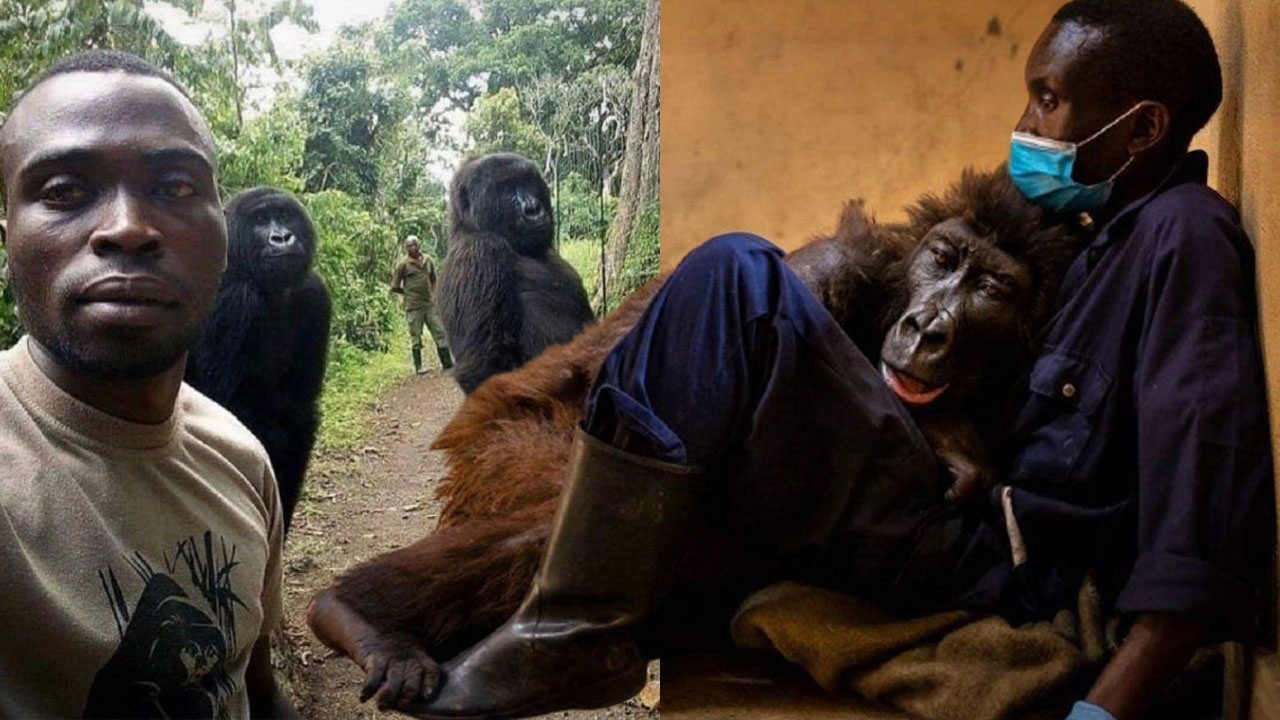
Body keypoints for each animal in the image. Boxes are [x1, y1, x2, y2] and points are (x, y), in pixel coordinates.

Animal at [186, 184, 335, 532]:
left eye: (284, 215)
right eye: (259, 221)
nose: (281, 237)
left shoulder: (315, 295)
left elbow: (298, 417)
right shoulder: (235, 303)